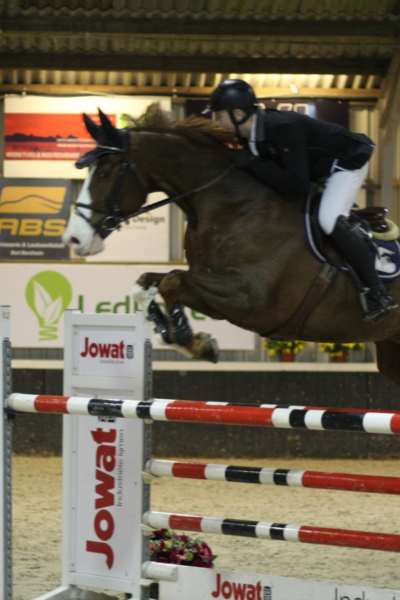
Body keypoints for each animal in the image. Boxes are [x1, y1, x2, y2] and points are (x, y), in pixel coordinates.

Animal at [61, 106, 400, 390]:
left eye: (105, 172)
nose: (74, 239)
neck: (226, 203)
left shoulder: (251, 301)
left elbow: (172, 281)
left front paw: (186, 335)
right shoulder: (216, 294)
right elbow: (148, 283)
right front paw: (186, 337)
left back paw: (379, 301)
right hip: (388, 351)